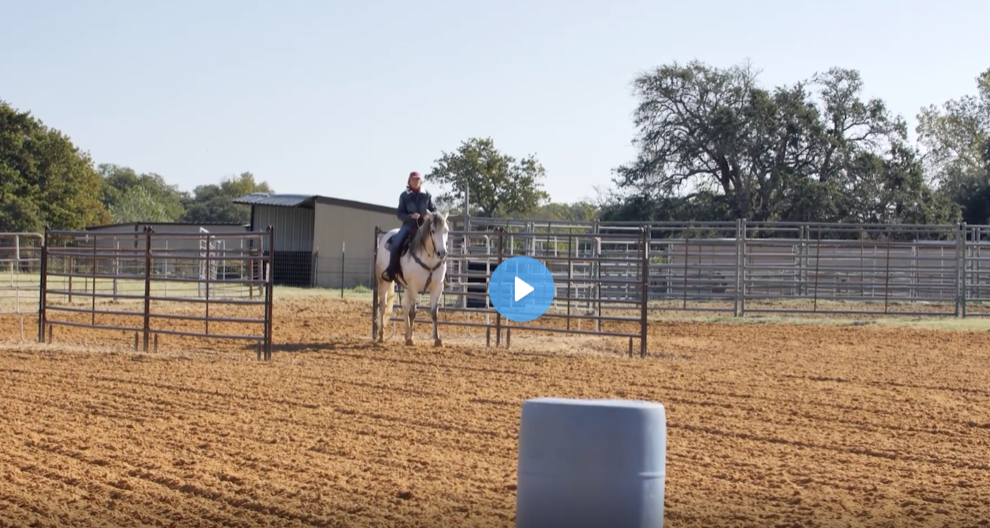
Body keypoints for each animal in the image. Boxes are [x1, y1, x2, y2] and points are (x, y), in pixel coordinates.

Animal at [374, 212, 452, 348]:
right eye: (432, 230)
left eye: (446, 230)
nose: (442, 253)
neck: (429, 259)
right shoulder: (414, 287)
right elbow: (413, 312)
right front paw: (411, 340)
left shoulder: (437, 287)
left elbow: (434, 313)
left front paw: (437, 339)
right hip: (383, 282)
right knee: (383, 306)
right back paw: (382, 336)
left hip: (406, 287)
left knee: (404, 307)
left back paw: (406, 335)